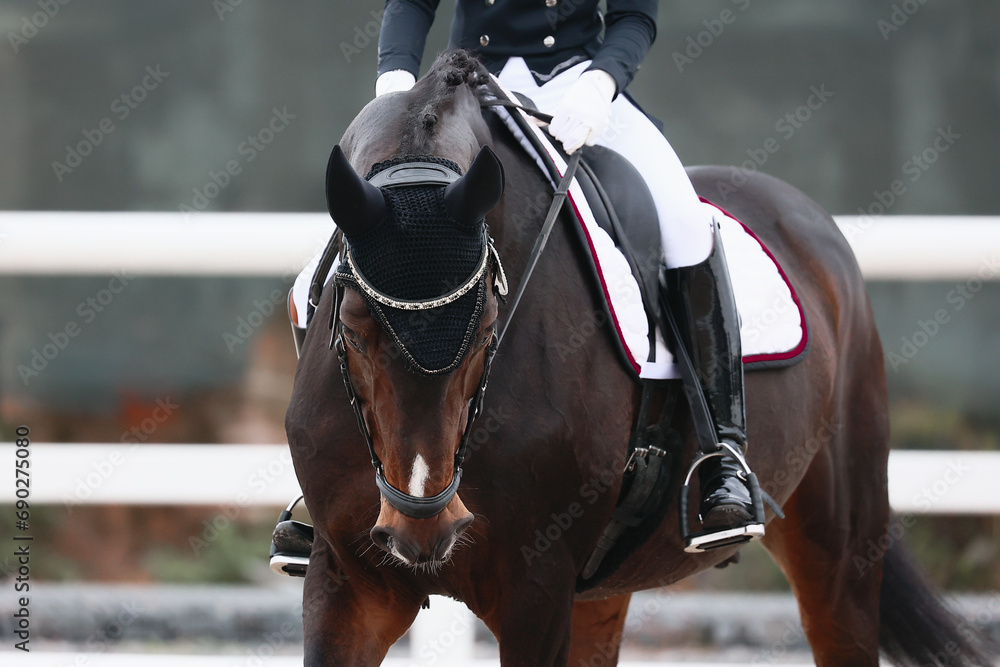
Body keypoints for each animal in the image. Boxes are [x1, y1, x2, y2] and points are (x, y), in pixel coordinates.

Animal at [285, 50, 994, 666]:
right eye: (352, 328)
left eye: (488, 324)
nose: (422, 529)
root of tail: (803, 213)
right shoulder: (349, 585)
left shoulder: (535, 590)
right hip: (602, 590)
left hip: (842, 550)